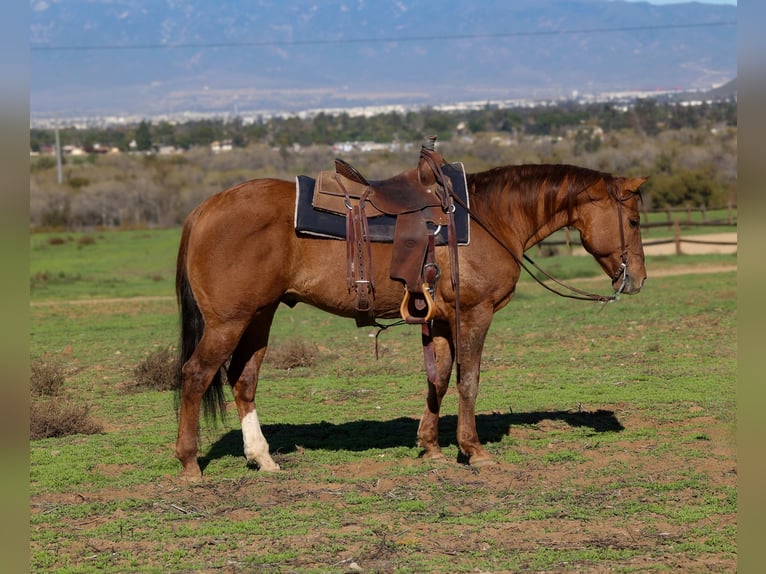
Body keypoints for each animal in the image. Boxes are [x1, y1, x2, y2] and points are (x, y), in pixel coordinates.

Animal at [174, 155, 647, 479]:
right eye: (635, 220)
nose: (637, 279)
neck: (489, 218)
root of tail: (203, 209)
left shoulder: (438, 320)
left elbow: (438, 379)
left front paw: (431, 448)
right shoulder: (474, 315)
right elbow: (468, 380)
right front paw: (474, 451)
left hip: (259, 317)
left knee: (244, 379)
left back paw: (263, 457)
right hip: (228, 322)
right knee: (196, 375)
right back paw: (190, 463)